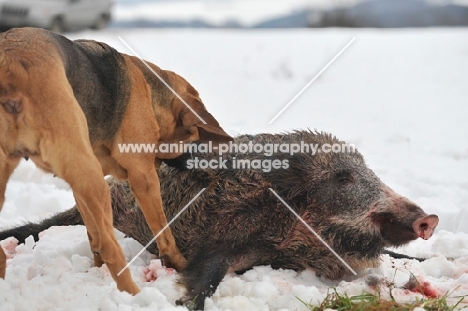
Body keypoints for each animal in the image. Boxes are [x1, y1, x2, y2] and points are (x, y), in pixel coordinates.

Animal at [0, 27, 233, 294]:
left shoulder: (81, 189)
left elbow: (93, 236)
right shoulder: (143, 178)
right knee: (113, 249)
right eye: (192, 137)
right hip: (94, 179)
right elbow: (163, 231)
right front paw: (177, 262)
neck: (151, 91)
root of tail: (12, 64)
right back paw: (133, 293)